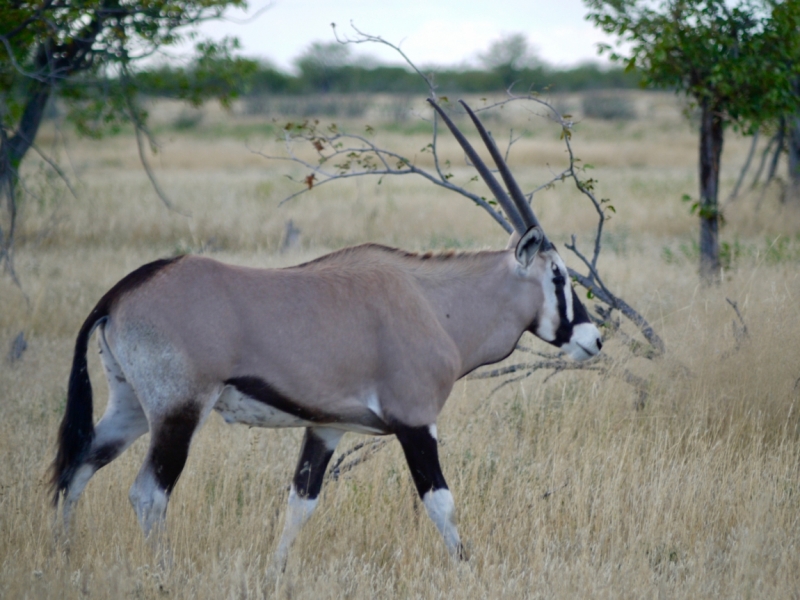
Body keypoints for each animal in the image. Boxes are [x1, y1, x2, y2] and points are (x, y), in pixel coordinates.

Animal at [50, 98, 600, 568]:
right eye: (559, 276)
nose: (593, 339)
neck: (433, 304)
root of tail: (119, 294)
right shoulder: (416, 421)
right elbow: (440, 502)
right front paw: (467, 568)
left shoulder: (327, 426)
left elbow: (301, 502)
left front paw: (275, 572)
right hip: (178, 411)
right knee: (148, 493)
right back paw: (162, 571)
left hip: (131, 406)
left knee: (78, 466)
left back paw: (63, 558)